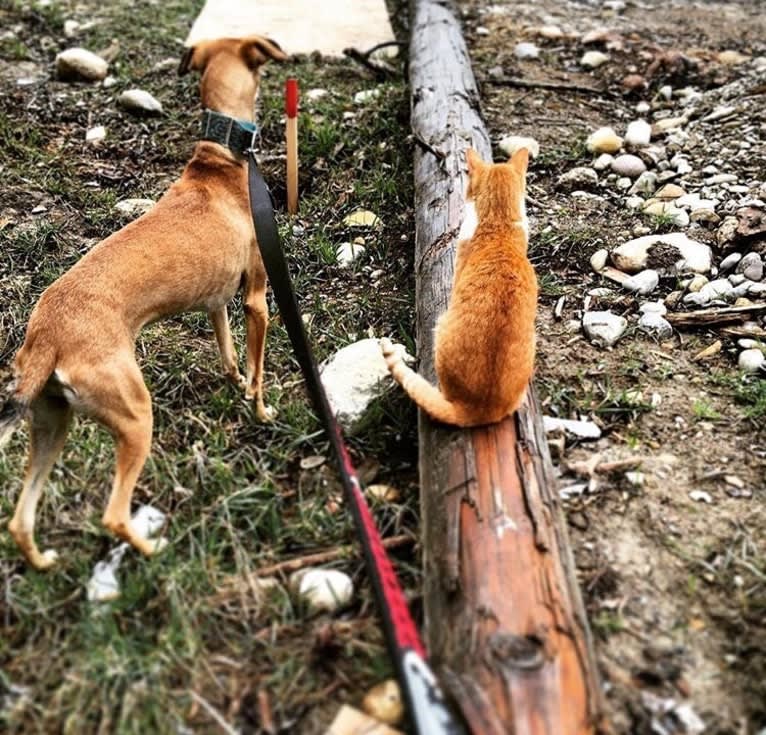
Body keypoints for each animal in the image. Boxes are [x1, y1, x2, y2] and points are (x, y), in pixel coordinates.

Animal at [0, 37, 288, 572]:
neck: (219, 161)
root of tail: (46, 336)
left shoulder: (217, 303)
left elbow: (230, 356)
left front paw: (235, 383)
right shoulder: (256, 298)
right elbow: (258, 370)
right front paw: (261, 412)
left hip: (52, 424)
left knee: (20, 519)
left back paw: (43, 562)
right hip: (135, 418)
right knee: (113, 514)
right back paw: (153, 550)